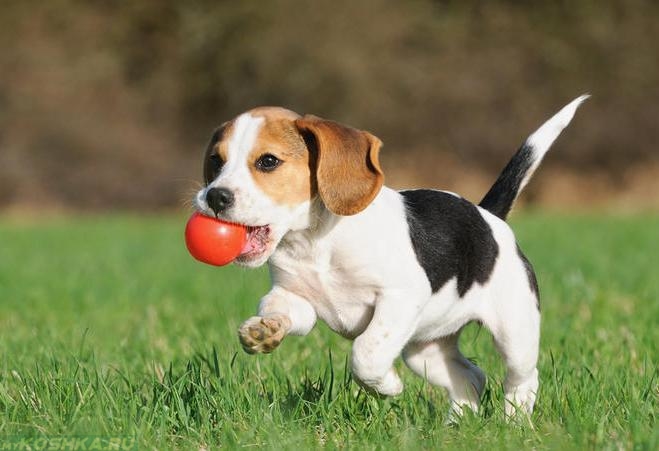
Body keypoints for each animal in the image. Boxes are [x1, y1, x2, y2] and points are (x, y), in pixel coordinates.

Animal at [195, 97, 588, 418]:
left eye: (268, 161)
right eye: (215, 161)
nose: (214, 197)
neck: (315, 242)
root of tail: (487, 215)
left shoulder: (400, 297)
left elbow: (366, 353)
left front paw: (387, 386)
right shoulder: (296, 299)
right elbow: (280, 309)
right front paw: (264, 330)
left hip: (514, 332)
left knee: (522, 379)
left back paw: (514, 422)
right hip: (425, 350)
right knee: (471, 377)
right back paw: (456, 426)